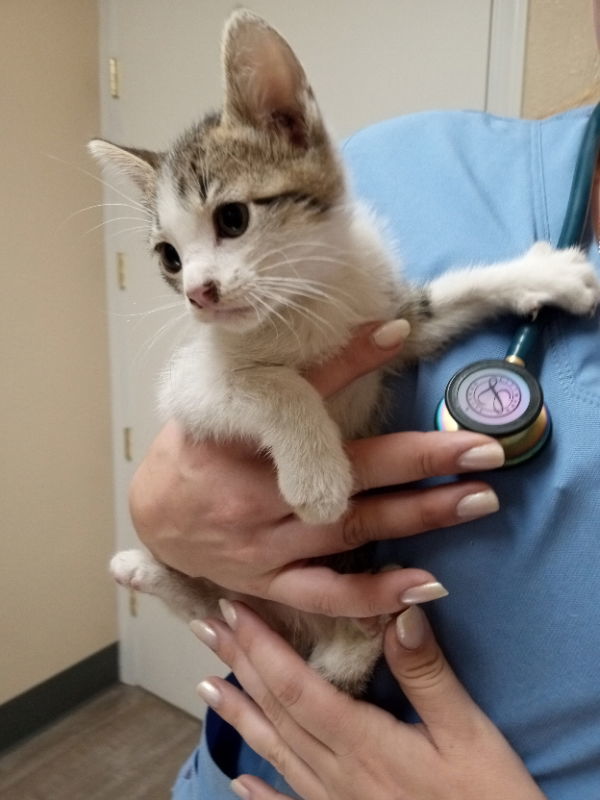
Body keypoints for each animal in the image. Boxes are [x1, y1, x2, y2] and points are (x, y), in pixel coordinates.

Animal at [89, 7, 600, 692]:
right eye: (169, 258)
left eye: (232, 219)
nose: (198, 293)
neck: (308, 297)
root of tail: (328, 636)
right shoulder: (193, 384)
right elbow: (273, 382)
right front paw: (319, 476)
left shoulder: (389, 322)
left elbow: (441, 301)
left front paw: (543, 276)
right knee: (223, 609)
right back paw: (143, 568)